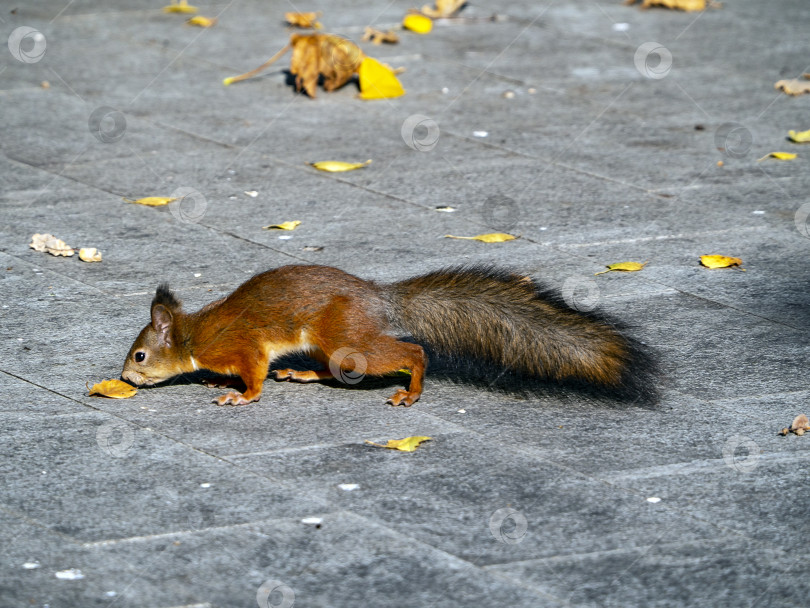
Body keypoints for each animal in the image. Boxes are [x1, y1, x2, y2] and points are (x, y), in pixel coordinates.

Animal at [121, 264, 658, 406]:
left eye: (141, 356)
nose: (125, 379)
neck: (192, 337)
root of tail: (378, 299)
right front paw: (219, 382)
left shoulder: (242, 346)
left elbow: (253, 373)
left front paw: (242, 395)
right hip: (335, 346)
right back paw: (306, 374)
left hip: (346, 340)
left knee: (410, 351)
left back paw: (412, 390)